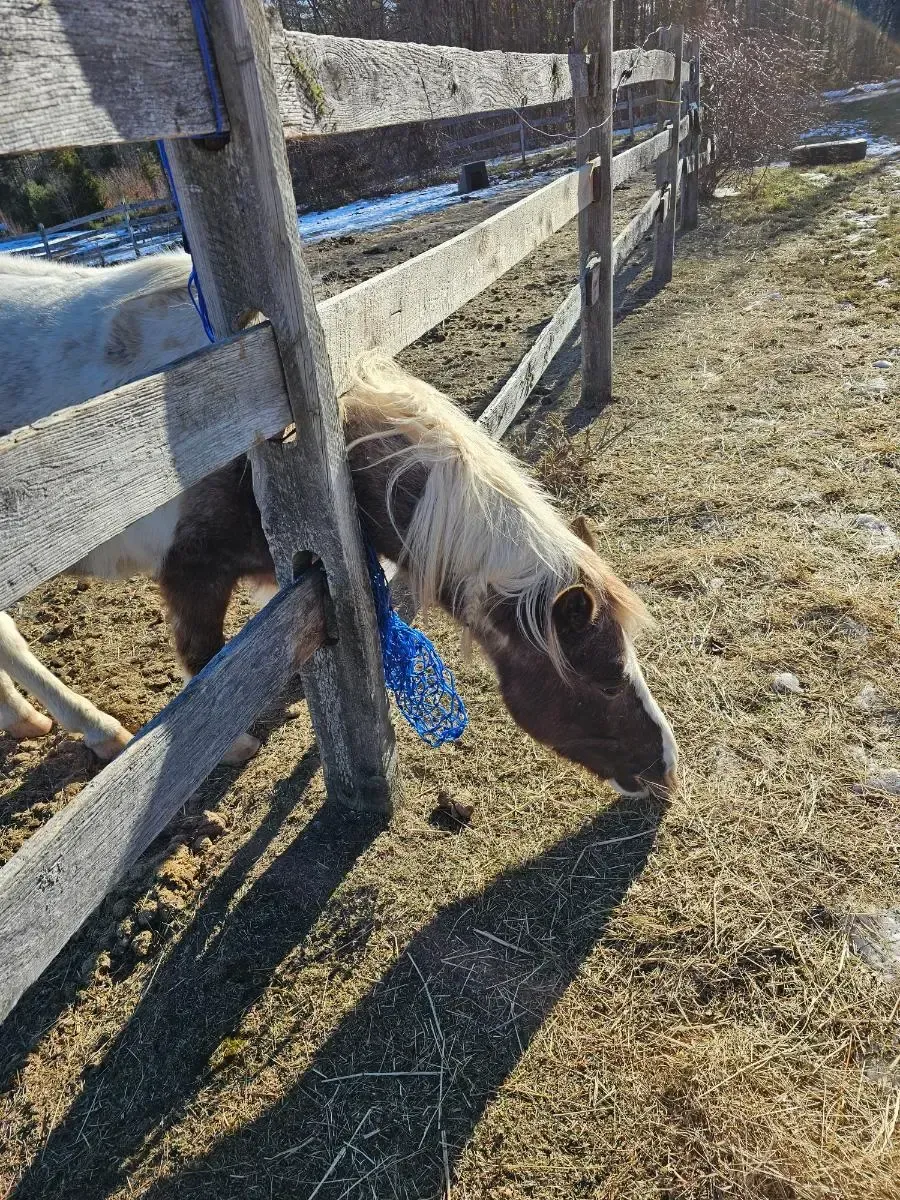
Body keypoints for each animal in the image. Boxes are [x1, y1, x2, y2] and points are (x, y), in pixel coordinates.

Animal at [0, 252, 678, 796]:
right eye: (608, 684)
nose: (668, 769)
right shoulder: (192, 571)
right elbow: (202, 664)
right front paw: (235, 744)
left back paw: (29, 720)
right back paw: (98, 730)